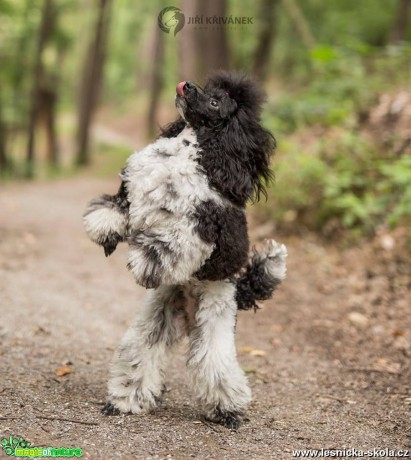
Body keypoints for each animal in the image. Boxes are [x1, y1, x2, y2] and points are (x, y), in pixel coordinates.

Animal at [83, 71, 288, 428]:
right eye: (211, 89)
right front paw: (104, 229)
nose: (187, 85)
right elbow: (117, 207)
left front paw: (144, 261)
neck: (182, 153)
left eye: (216, 102)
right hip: (157, 317)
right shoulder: (134, 193)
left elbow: (168, 244)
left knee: (214, 364)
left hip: (214, 318)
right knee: (141, 354)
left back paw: (228, 412)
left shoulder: (199, 228)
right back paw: (126, 400)